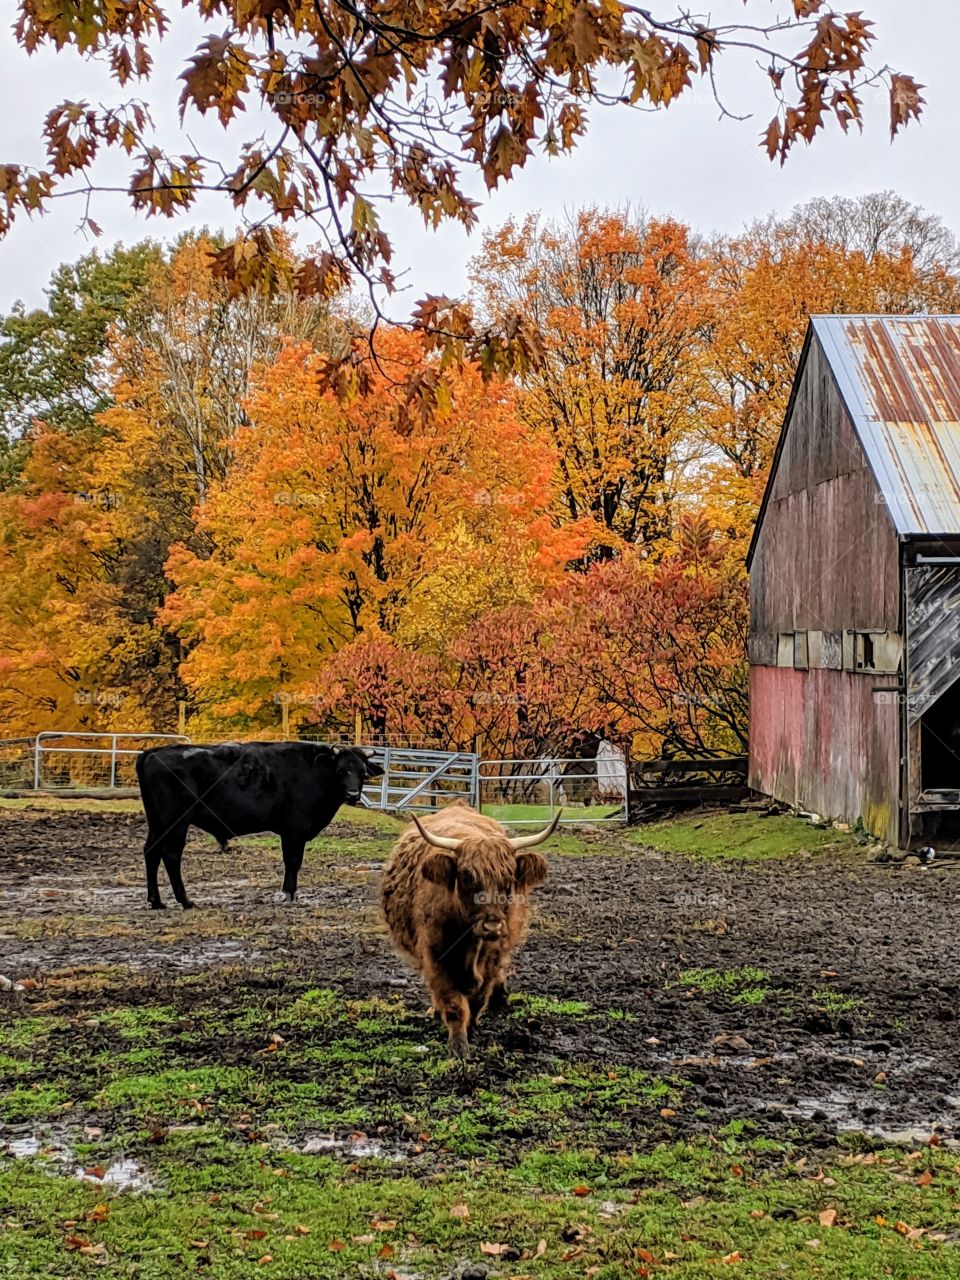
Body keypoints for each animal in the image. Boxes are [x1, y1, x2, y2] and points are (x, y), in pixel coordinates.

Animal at [135, 742, 383, 910]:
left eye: (362, 772)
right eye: (341, 770)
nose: (353, 794)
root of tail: (155, 752)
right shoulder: (294, 832)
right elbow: (293, 862)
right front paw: (289, 894)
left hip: (157, 821)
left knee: (151, 851)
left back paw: (156, 901)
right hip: (177, 821)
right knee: (171, 855)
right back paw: (185, 900)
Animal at [379, 802, 560, 1058]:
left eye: (508, 880)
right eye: (467, 877)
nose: (492, 925)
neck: (470, 942)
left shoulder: (494, 957)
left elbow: (478, 998)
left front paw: (473, 1028)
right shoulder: (436, 956)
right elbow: (453, 1004)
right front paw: (458, 1047)